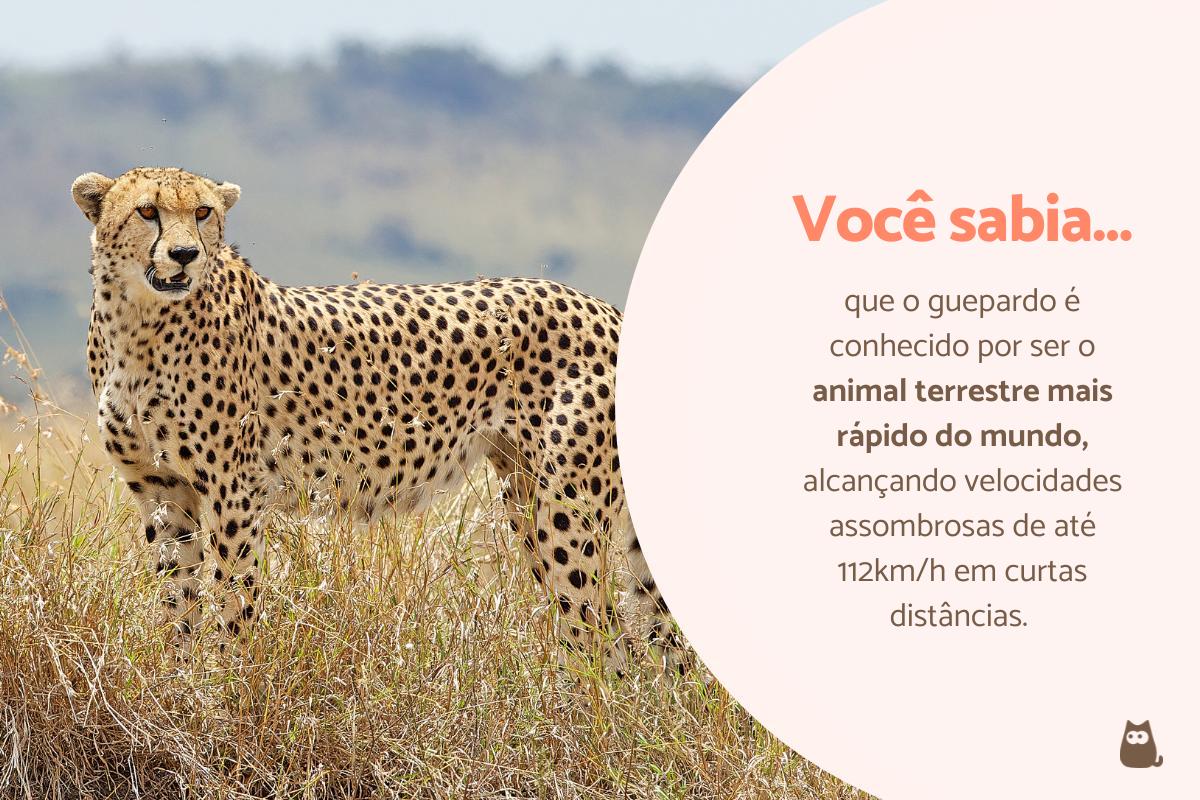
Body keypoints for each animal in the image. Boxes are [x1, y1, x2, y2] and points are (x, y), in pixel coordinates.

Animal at [72, 166, 678, 673]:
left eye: (202, 212)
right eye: (147, 211)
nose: (184, 255)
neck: (138, 322)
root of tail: (605, 308)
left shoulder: (233, 490)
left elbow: (232, 596)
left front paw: (224, 687)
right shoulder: (162, 488)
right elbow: (178, 598)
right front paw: (177, 678)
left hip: (566, 507)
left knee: (606, 637)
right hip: (527, 493)